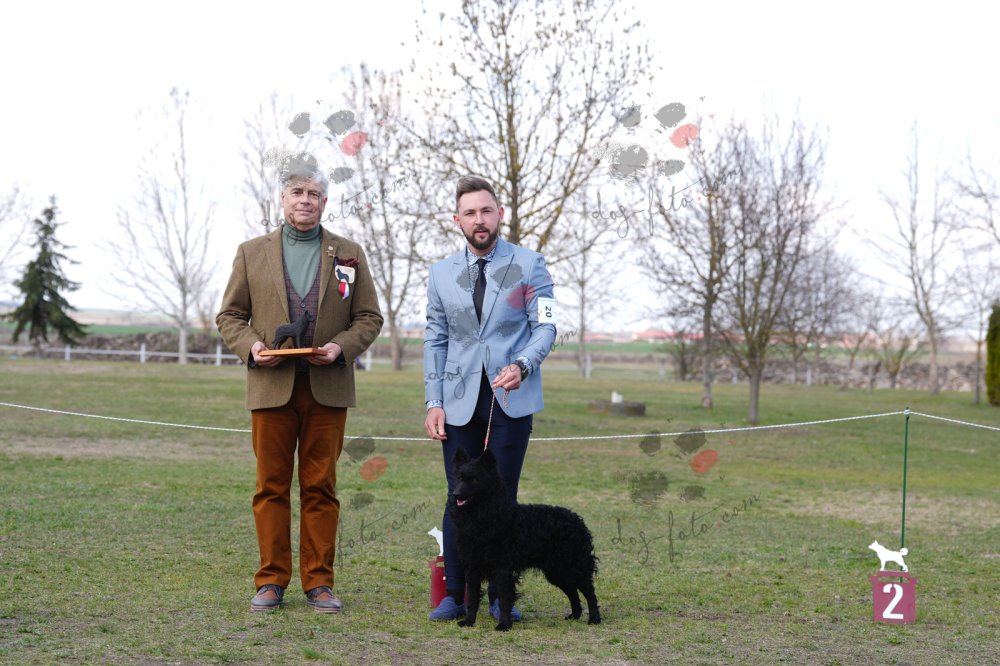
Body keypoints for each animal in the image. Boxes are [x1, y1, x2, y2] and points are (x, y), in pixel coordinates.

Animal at [448, 448, 601, 631]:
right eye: (459, 478)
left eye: (474, 480)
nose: (456, 495)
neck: (484, 516)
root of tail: (577, 520)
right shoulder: (472, 567)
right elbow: (471, 598)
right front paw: (469, 622)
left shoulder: (503, 568)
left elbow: (504, 600)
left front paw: (504, 625)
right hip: (557, 571)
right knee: (572, 591)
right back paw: (575, 615)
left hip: (574, 566)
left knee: (589, 592)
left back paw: (594, 619)